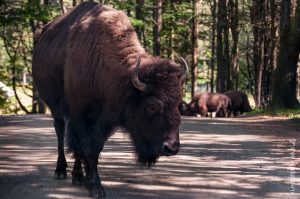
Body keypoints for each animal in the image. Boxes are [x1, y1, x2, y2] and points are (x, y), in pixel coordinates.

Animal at [32, 2, 188, 198]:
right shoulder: (79, 114)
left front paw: (88, 180)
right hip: (55, 109)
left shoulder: (104, 120)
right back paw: (60, 171)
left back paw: (78, 176)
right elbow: (87, 147)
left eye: (179, 104)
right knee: (61, 135)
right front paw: (96, 188)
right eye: (152, 106)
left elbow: (94, 148)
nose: (172, 148)